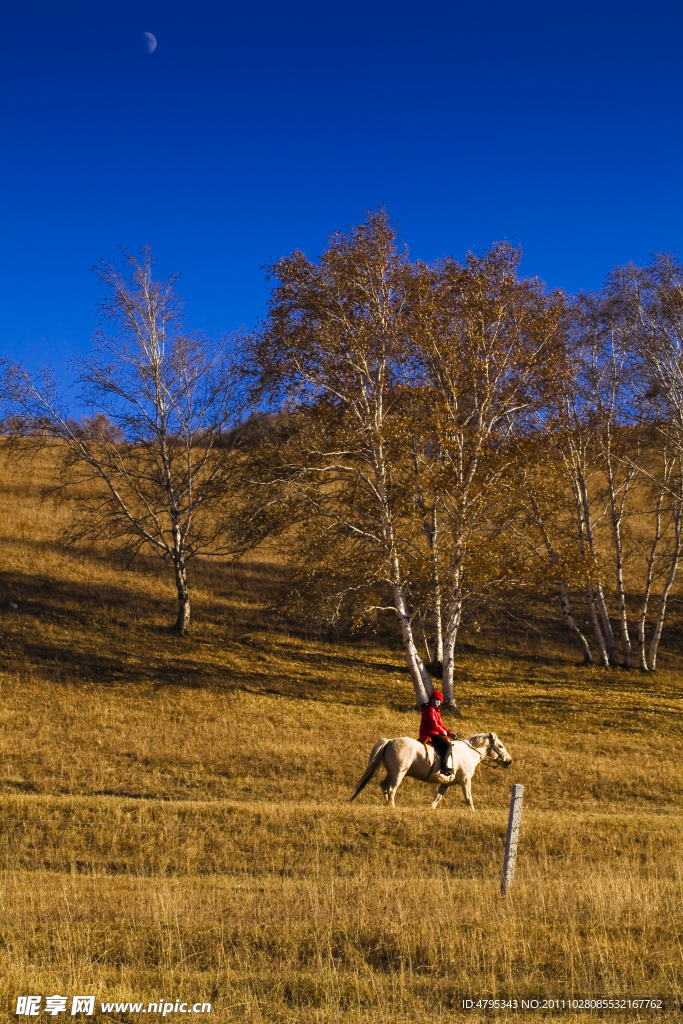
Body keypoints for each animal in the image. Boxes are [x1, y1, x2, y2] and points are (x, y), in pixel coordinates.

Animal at [350, 737, 509, 806]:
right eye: (500, 746)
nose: (509, 761)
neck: (468, 752)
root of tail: (389, 741)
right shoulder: (465, 781)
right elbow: (468, 799)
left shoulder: (446, 784)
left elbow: (436, 799)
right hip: (398, 773)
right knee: (391, 789)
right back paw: (392, 806)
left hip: (391, 773)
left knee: (384, 785)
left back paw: (387, 804)